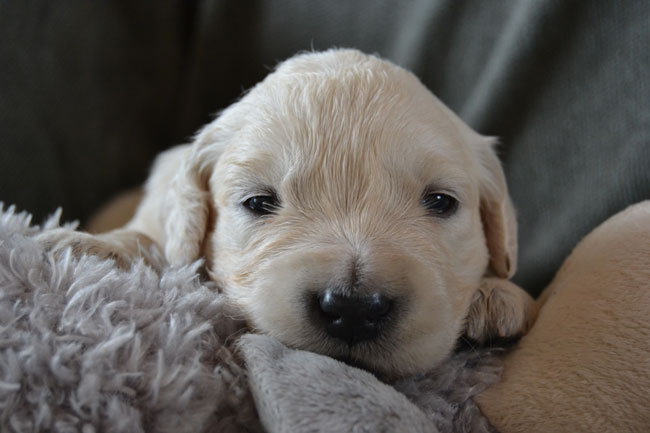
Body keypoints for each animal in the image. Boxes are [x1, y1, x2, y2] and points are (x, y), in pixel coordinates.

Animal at [39, 49, 532, 374]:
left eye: (441, 202)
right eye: (258, 203)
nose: (353, 307)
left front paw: (497, 294)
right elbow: (149, 236)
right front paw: (91, 247)